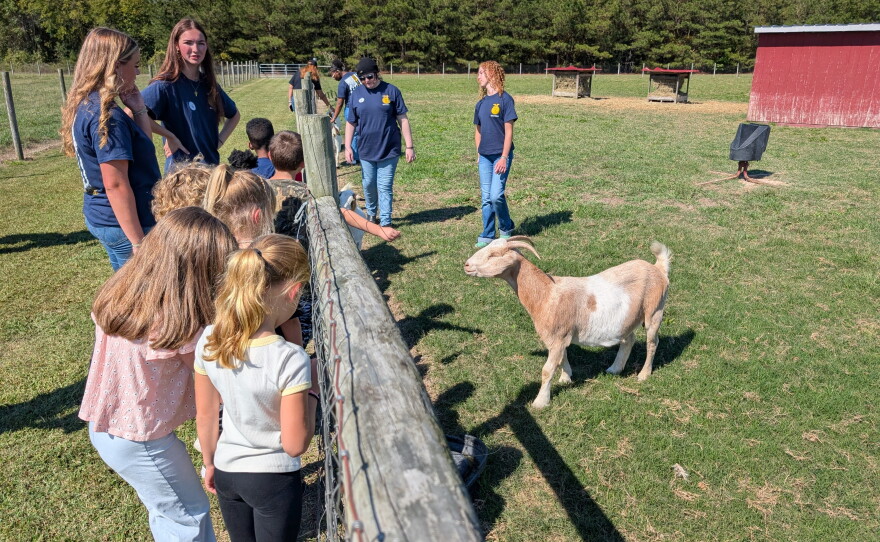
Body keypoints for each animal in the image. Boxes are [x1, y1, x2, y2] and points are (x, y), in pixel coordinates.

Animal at [464, 236, 671, 408]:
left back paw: (644, 374)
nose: (466, 265)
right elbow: (562, 357)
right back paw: (614, 368)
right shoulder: (559, 336)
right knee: (629, 340)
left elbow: (547, 370)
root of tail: (658, 268)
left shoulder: (557, 336)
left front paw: (540, 402)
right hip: (627, 320)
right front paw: (566, 378)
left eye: (493, 255)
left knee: (652, 342)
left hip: (654, 311)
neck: (547, 293)